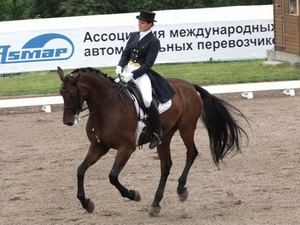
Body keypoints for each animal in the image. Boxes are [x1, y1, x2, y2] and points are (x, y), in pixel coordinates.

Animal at [56, 66, 248, 216]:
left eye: (72, 93)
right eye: (61, 93)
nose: (68, 121)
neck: (107, 108)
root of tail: (188, 85)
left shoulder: (126, 148)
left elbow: (112, 176)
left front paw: (133, 195)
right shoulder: (98, 147)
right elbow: (80, 170)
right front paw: (86, 203)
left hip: (187, 128)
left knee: (191, 153)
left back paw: (181, 189)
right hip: (165, 137)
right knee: (166, 165)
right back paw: (156, 203)